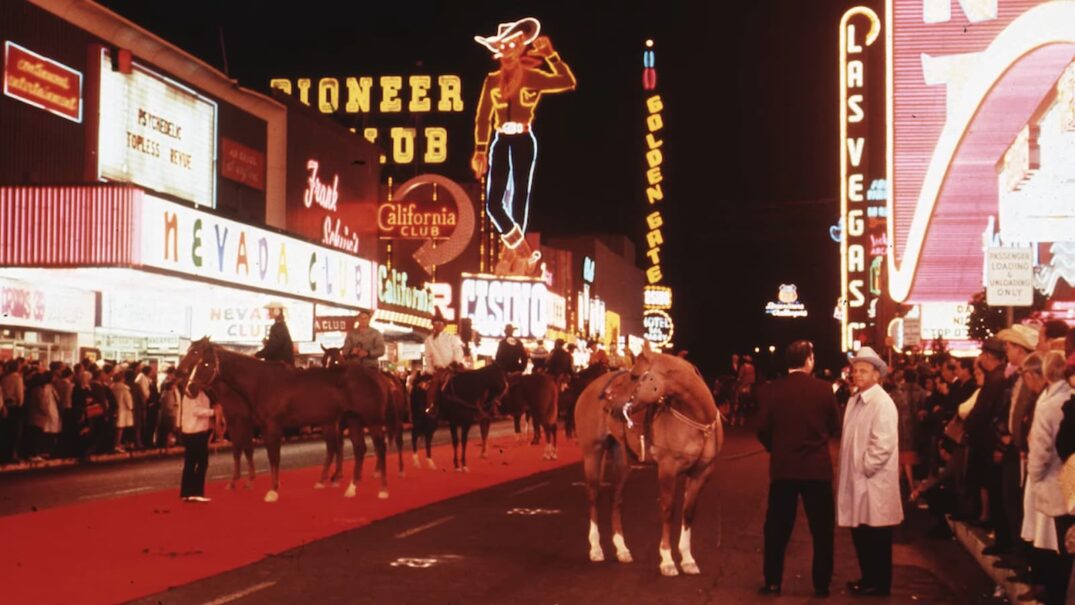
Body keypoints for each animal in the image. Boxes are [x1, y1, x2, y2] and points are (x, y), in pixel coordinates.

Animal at [179, 339, 391, 505]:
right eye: (193, 358)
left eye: (206, 364)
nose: (189, 389)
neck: (261, 382)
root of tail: (377, 376)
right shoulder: (255, 426)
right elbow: (256, 452)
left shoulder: (269, 426)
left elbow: (272, 456)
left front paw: (272, 491)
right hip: (352, 420)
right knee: (358, 449)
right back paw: (351, 488)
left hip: (372, 421)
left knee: (380, 448)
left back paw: (382, 489)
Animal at [576, 352, 726, 575]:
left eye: (635, 376)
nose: (609, 406)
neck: (698, 421)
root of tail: (590, 388)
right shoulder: (667, 469)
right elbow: (668, 510)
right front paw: (667, 560)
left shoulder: (702, 473)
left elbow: (688, 512)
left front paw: (688, 559)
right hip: (593, 452)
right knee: (594, 496)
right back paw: (595, 549)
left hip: (621, 460)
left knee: (616, 499)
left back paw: (622, 550)